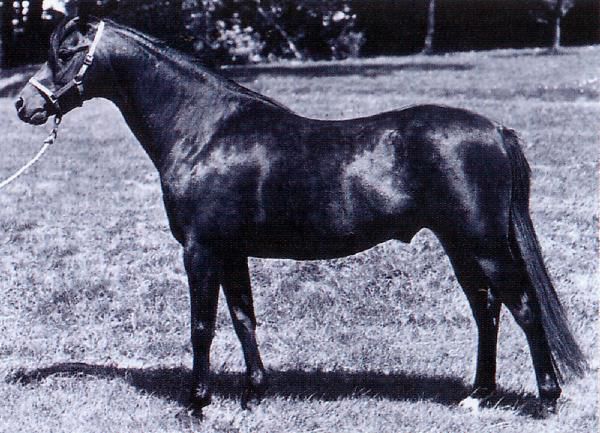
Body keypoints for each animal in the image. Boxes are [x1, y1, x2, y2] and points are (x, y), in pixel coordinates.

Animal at [15, 16, 584, 416]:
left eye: (65, 53)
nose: (24, 104)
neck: (205, 131)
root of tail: (495, 131)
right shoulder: (231, 251)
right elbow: (243, 318)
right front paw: (253, 395)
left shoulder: (200, 250)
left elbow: (202, 325)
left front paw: (196, 403)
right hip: (460, 246)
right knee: (486, 311)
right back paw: (478, 395)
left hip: (484, 246)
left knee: (523, 308)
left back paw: (545, 398)